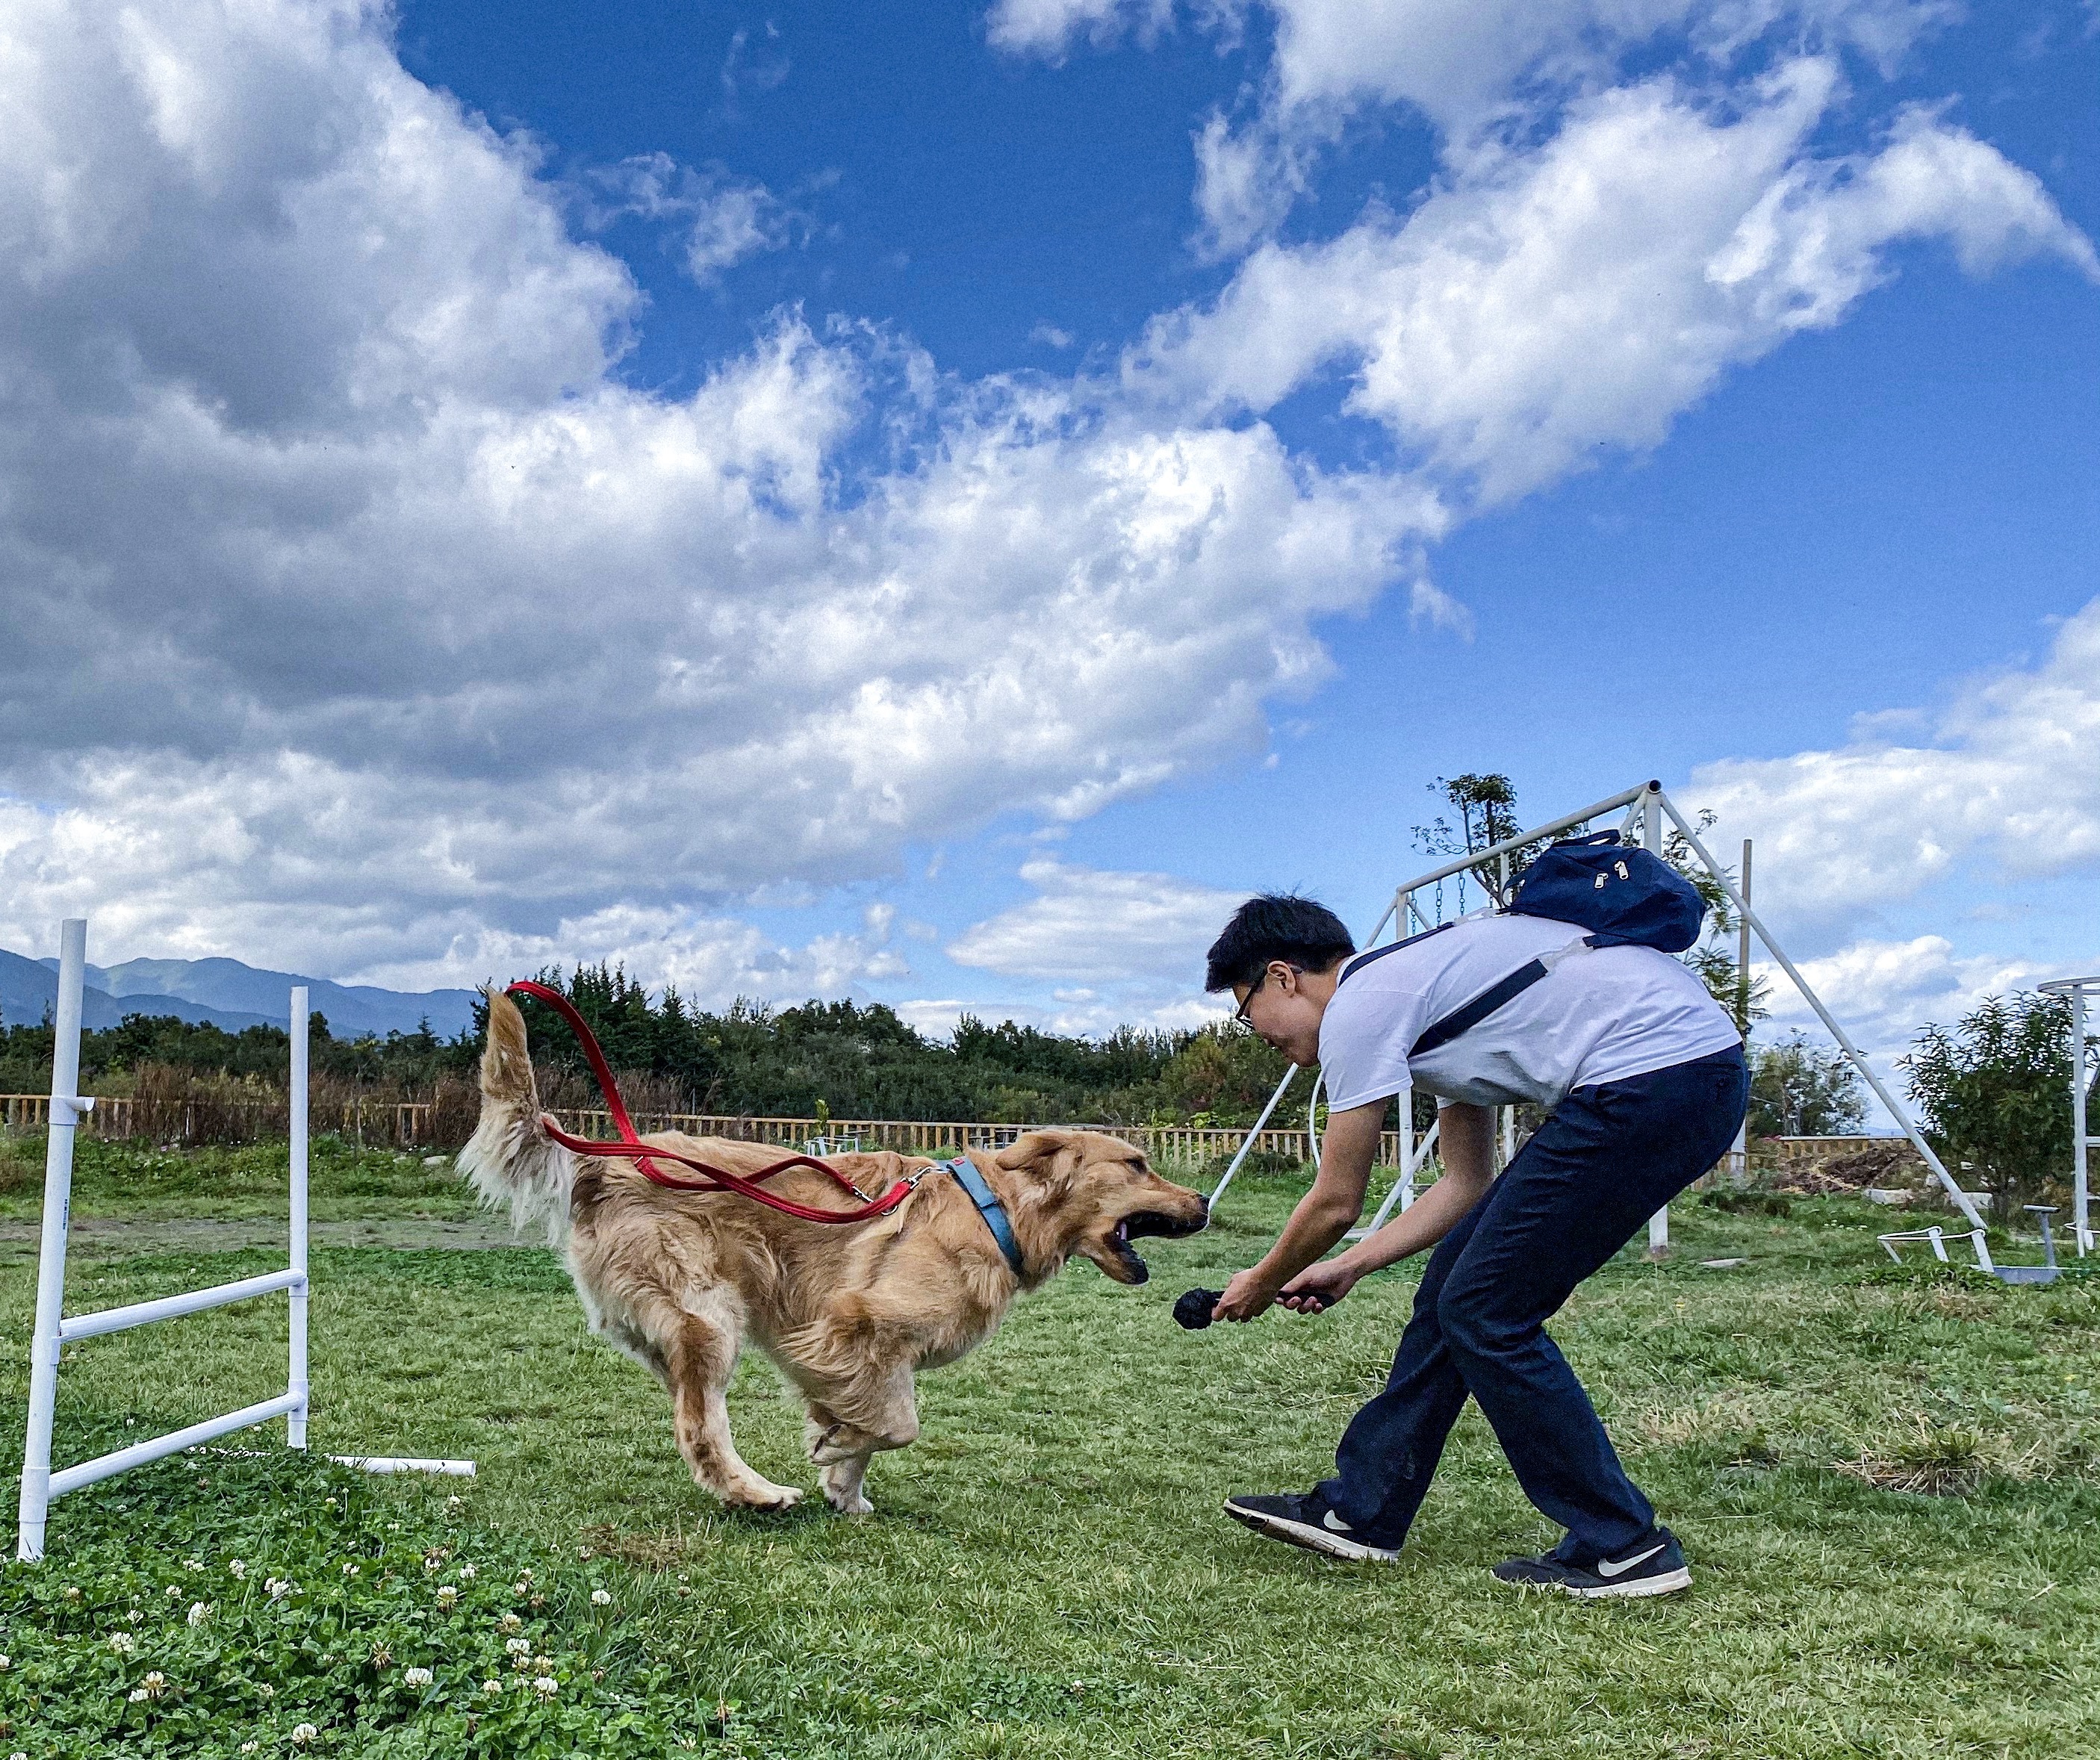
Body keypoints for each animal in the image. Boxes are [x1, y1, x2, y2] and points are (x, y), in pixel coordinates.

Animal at [459, 991, 1217, 1512]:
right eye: (1138, 1163)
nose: (1206, 1201)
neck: (994, 1212)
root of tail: (600, 1163)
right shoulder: (857, 1325)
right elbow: (898, 1425)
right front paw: (838, 1451)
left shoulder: (866, 1354)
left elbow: (870, 1422)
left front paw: (846, 1488)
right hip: (710, 1316)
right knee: (699, 1427)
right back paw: (756, 1492)